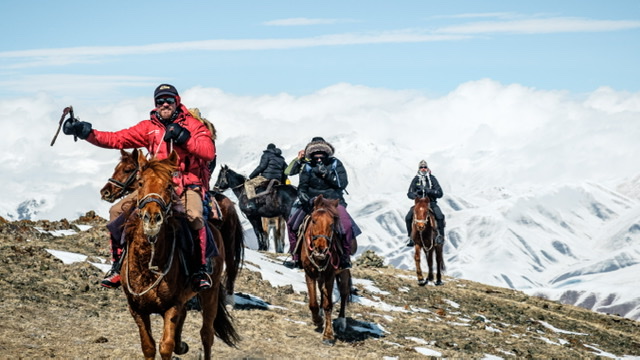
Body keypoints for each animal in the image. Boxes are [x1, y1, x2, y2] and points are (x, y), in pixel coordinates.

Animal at [101, 149, 244, 304]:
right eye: (140, 183)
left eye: (127, 170)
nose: (105, 192)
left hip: (229, 243)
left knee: (231, 268)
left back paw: (228, 299)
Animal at [121, 150, 239, 358]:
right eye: (140, 182)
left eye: (169, 185)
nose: (152, 217)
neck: (147, 265)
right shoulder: (136, 308)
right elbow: (148, 346)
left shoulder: (171, 306)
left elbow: (165, 346)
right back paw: (181, 346)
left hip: (211, 291)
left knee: (207, 334)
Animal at [300, 195, 350, 344]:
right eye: (314, 220)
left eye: (332, 224)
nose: (321, 249)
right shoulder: (309, 274)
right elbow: (313, 303)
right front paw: (317, 320)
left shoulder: (330, 275)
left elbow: (329, 304)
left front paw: (328, 335)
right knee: (321, 291)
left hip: (344, 272)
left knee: (344, 294)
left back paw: (341, 321)